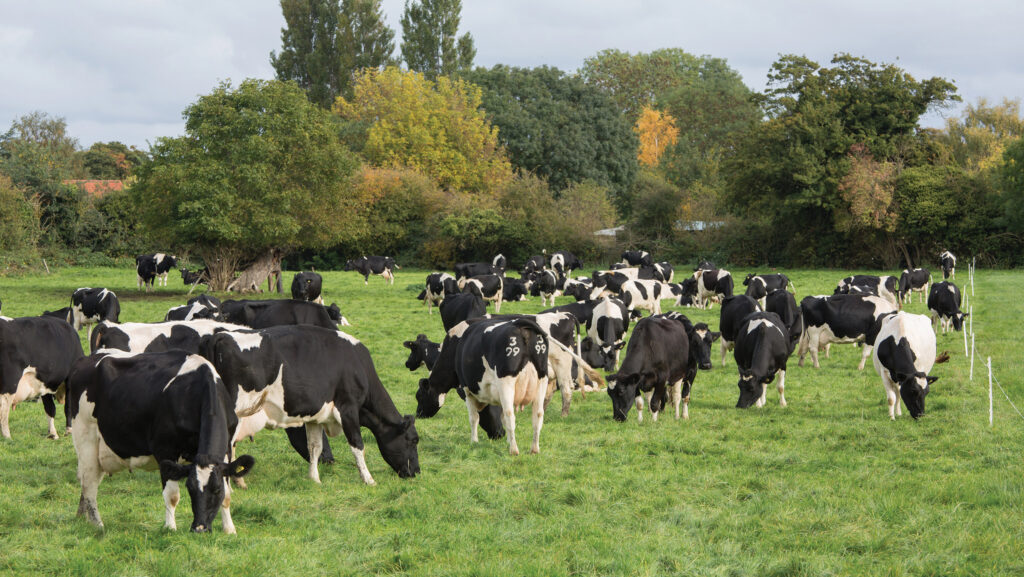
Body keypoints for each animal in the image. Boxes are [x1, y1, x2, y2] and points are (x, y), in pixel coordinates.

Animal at [68, 350, 254, 533]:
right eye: (190, 488)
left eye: (216, 489)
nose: (199, 528)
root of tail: (87, 359)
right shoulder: (165, 449)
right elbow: (172, 496)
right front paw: (170, 528)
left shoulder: (227, 449)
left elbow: (227, 495)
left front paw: (229, 529)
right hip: (86, 438)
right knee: (89, 483)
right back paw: (97, 524)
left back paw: (82, 517)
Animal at [199, 325, 419, 484]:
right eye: (413, 440)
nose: (416, 472)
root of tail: (222, 336)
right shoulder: (348, 408)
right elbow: (357, 445)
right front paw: (368, 479)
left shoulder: (316, 417)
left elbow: (315, 446)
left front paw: (314, 479)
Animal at [416, 318, 549, 456]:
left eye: (419, 396)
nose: (418, 414)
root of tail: (519, 323)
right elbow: (501, 417)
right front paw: (506, 440)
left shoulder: (466, 390)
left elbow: (474, 418)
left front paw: (474, 441)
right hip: (542, 381)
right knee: (538, 415)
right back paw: (534, 449)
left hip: (506, 383)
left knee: (510, 414)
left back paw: (514, 450)